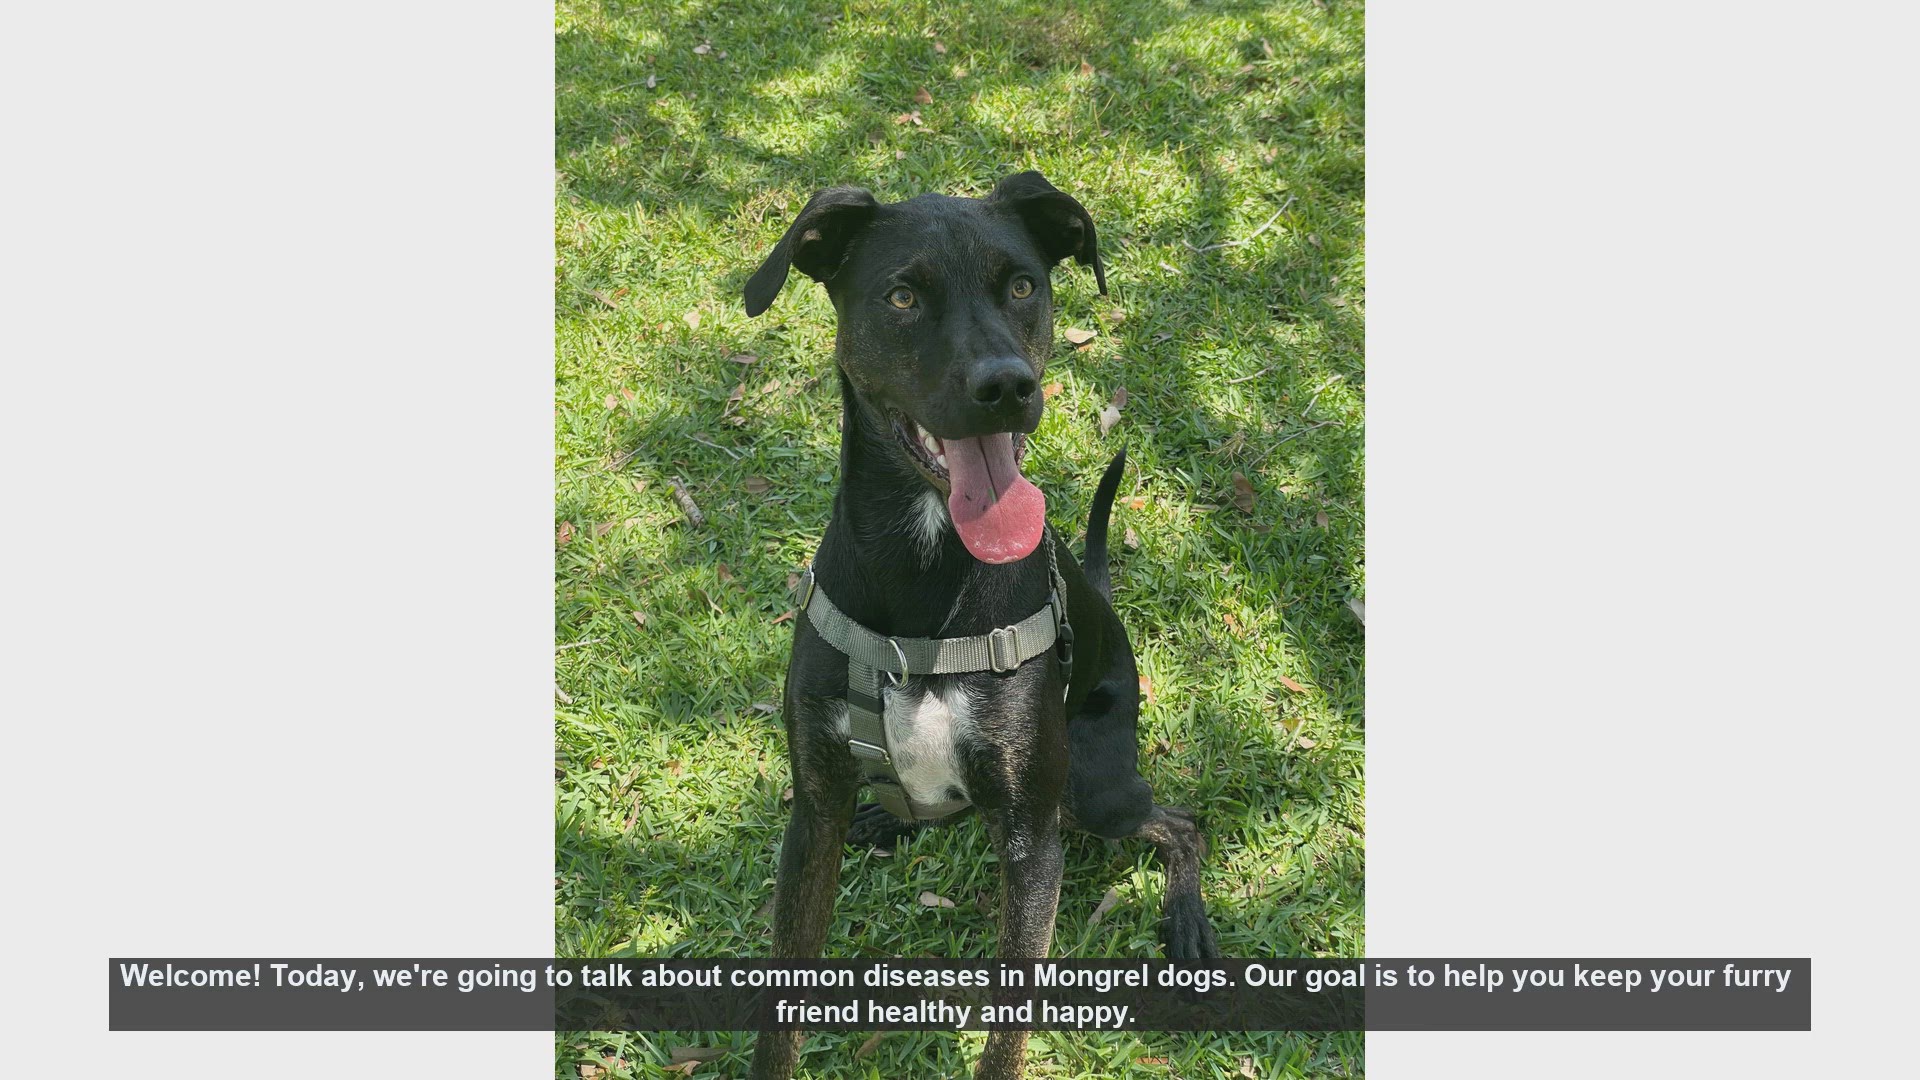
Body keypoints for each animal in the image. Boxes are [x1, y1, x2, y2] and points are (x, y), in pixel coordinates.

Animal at [742, 171, 1218, 1080]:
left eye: (1023, 286)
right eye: (901, 296)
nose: (1007, 387)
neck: (927, 577)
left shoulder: (1034, 840)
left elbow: (1007, 1030)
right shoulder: (811, 815)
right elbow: (778, 1011)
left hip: (1091, 789)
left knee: (1179, 823)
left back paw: (1187, 921)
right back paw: (891, 815)